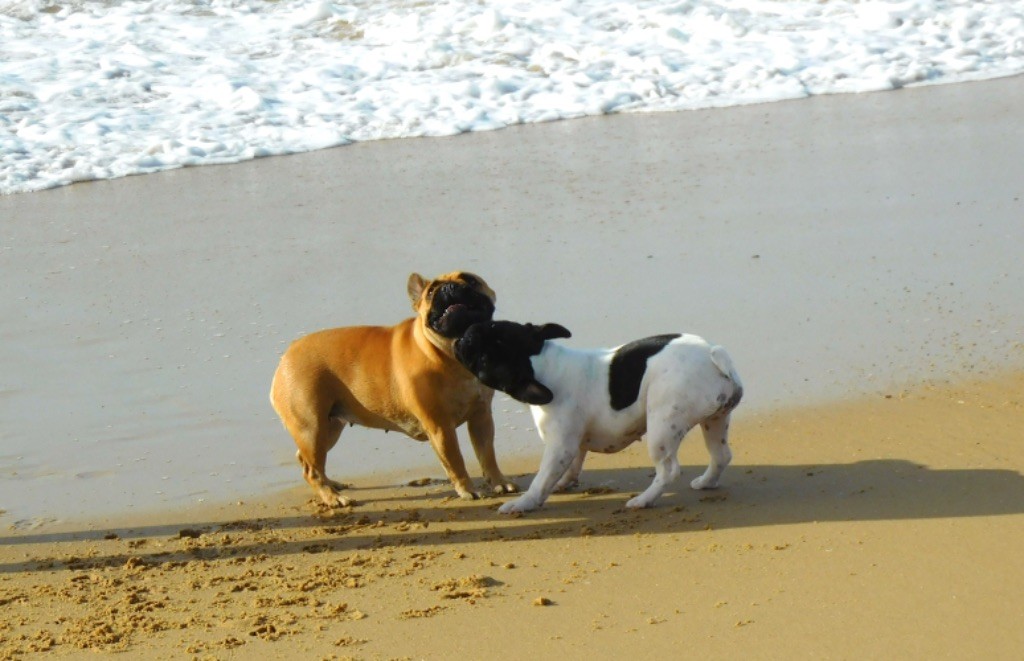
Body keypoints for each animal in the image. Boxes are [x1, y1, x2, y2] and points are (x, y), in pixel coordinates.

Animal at [456, 321, 745, 513]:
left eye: (484, 358)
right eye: (495, 325)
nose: (467, 334)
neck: (543, 365)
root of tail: (714, 356)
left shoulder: (560, 446)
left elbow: (542, 478)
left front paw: (523, 503)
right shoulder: (573, 443)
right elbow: (572, 466)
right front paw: (563, 483)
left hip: (663, 424)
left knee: (668, 469)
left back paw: (643, 500)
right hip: (715, 420)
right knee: (721, 455)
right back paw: (706, 482)